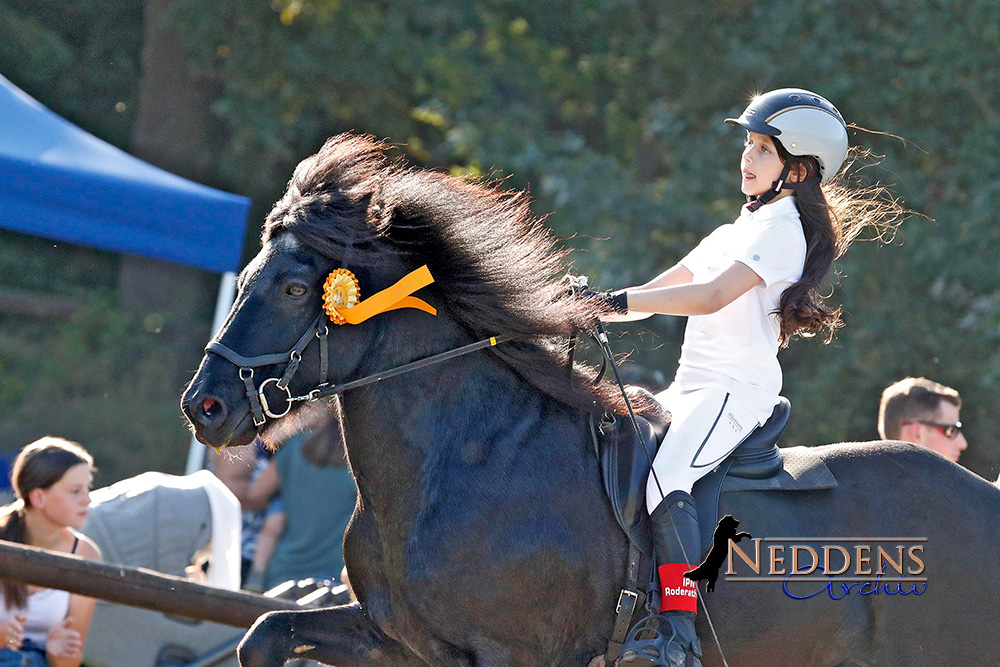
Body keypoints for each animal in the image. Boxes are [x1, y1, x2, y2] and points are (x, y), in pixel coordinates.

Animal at [182, 136, 1000, 667]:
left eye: (295, 287)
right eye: (248, 273)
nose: (205, 408)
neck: (461, 462)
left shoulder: (512, 654)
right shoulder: (400, 640)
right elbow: (264, 635)